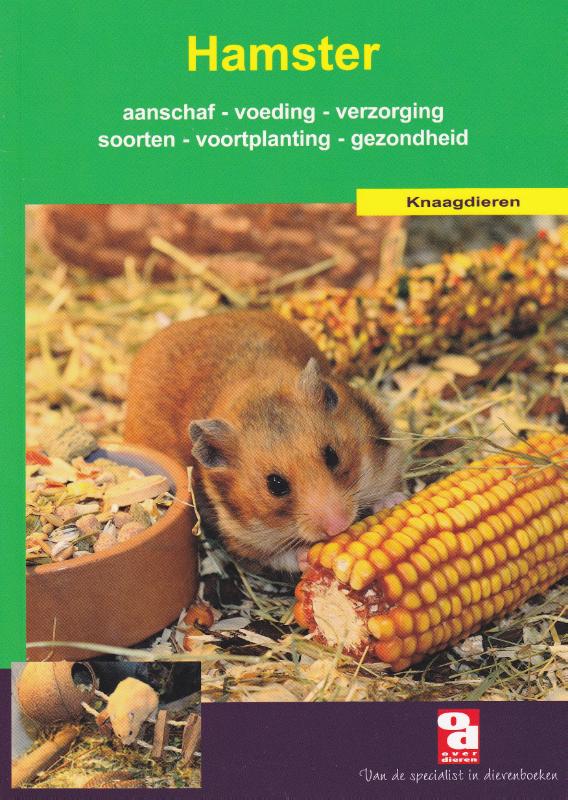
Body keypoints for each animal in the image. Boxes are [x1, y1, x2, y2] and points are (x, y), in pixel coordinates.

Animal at [125, 310, 403, 572]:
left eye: (332, 456)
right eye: (275, 485)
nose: (338, 526)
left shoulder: (385, 457)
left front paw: (392, 502)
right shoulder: (247, 540)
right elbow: (281, 557)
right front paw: (306, 556)